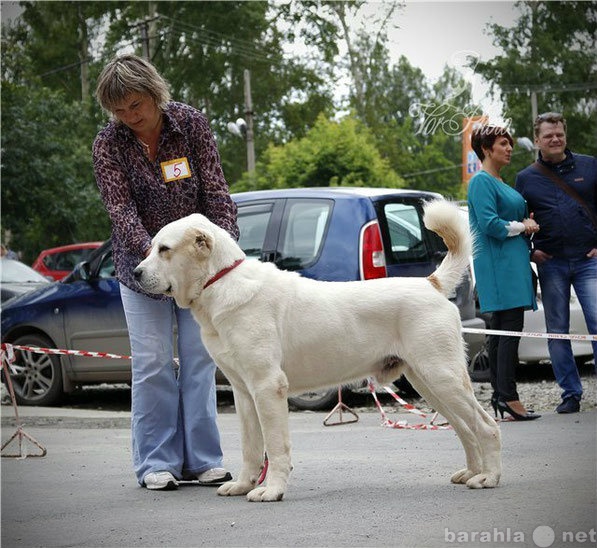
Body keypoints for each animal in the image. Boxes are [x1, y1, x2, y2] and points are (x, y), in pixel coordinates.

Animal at [134, 200, 498, 500]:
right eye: (151, 248)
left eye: (165, 249)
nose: (135, 273)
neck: (219, 282)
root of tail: (429, 283)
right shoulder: (243, 391)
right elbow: (251, 446)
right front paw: (243, 484)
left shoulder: (267, 387)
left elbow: (275, 446)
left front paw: (272, 490)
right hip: (427, 381)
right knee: (466, 428)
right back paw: (472, 472)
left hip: (442, 376)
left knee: (486, 425)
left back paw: (488, 477)